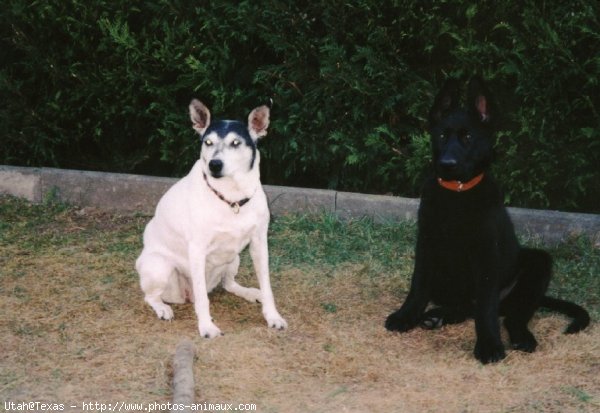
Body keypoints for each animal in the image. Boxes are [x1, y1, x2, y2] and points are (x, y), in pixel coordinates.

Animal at [137, 100, 288, 338]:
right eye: (208, 142)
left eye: (235, 143)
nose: (214, 165)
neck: (232, 197)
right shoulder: (197, 249)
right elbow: (202, 300)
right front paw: (207, 326)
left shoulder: (259, 244)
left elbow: (267, 287)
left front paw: (272, 316)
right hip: (159, 267)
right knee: (152, 296)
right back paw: (162, 308)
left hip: (234, 258)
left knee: (228, 284)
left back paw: (250, 292)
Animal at [384, 75, 592, 362]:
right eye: (441, 135)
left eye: (468, 137)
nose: (447, 163)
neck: (458, 193)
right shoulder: (426, 244)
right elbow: (417, 286)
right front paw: (406, 315)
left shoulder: (486, 256)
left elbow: (485, 307)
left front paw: (489, 344)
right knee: (465, 307)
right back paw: (438, 315)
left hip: (537, 265)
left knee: (510, 315)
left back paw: (521, 336)